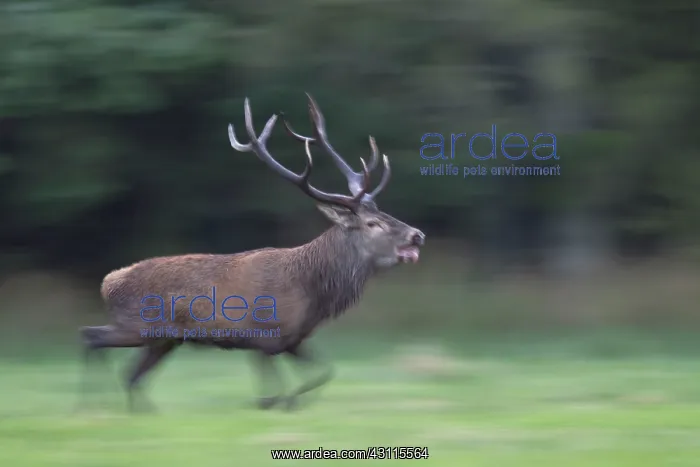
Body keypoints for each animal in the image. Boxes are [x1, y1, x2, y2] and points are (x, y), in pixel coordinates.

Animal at [79, 94, 425, 412]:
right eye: (372, 223)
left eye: (385, 214)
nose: (417, 234)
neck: (312, 291)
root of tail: (108, 282)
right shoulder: (263, 337)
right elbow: (275, 392)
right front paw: (276, 402)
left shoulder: (292, 340)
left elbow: (324, 372)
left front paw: (288, 401)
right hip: (137, 325)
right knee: (91, 337)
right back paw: (90, 403)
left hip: (163, 339)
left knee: (130, 374)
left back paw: (138, 409)